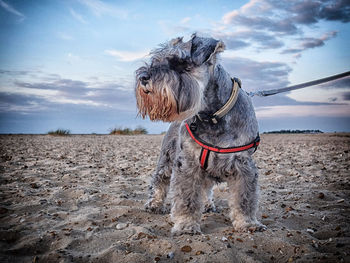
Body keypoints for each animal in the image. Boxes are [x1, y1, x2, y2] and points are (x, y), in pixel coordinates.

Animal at [134, 34, 266, 236]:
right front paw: (186, 225)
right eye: (156, 61)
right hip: (166, 159)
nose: (143, 77)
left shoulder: (243, 165)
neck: (212, 116)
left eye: (181, 62)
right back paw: (154, 204)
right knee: (159, 181)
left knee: (206, 188)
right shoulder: (188, 164)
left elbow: (244, 198)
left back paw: (208, 204)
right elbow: (187, 198)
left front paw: (247, 222)